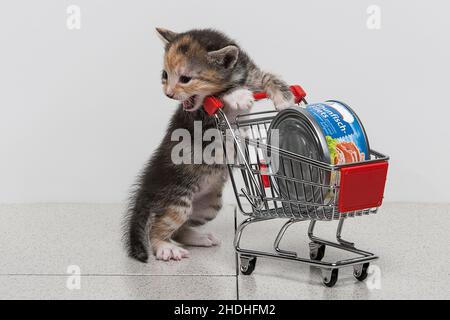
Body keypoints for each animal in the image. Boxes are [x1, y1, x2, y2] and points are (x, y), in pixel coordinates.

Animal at [123, 28, 294, 262]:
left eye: (185, 79)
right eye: (165, 75)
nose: (169, 93)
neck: (234, 78)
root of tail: (148, 186)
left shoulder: (251, 74)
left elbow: (268, 76)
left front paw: (284, 98)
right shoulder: (199, 118)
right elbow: (215, 98)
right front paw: (236, 95)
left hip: (209, 205)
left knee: (180, 230)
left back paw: (198, 238)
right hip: (177, 202)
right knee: (159, 227)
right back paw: (165, 247)